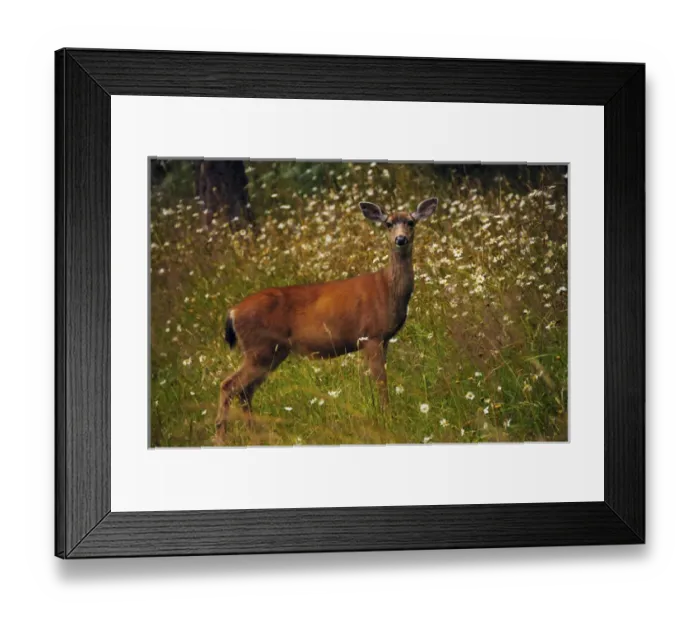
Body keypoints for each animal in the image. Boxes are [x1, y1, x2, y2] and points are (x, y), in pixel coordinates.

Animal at [215, 197, 438, 439]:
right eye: (388, 224)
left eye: (411, 222)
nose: (400, 239)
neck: (387, 288)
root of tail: (233, 311)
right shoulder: (371, 336)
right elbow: (381, 381)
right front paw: (387, 418)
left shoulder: (383, 339)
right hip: (260, 348)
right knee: (229, 385)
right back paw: (222, 438)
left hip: (270, 352)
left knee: (245, 391)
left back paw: (255, 434)